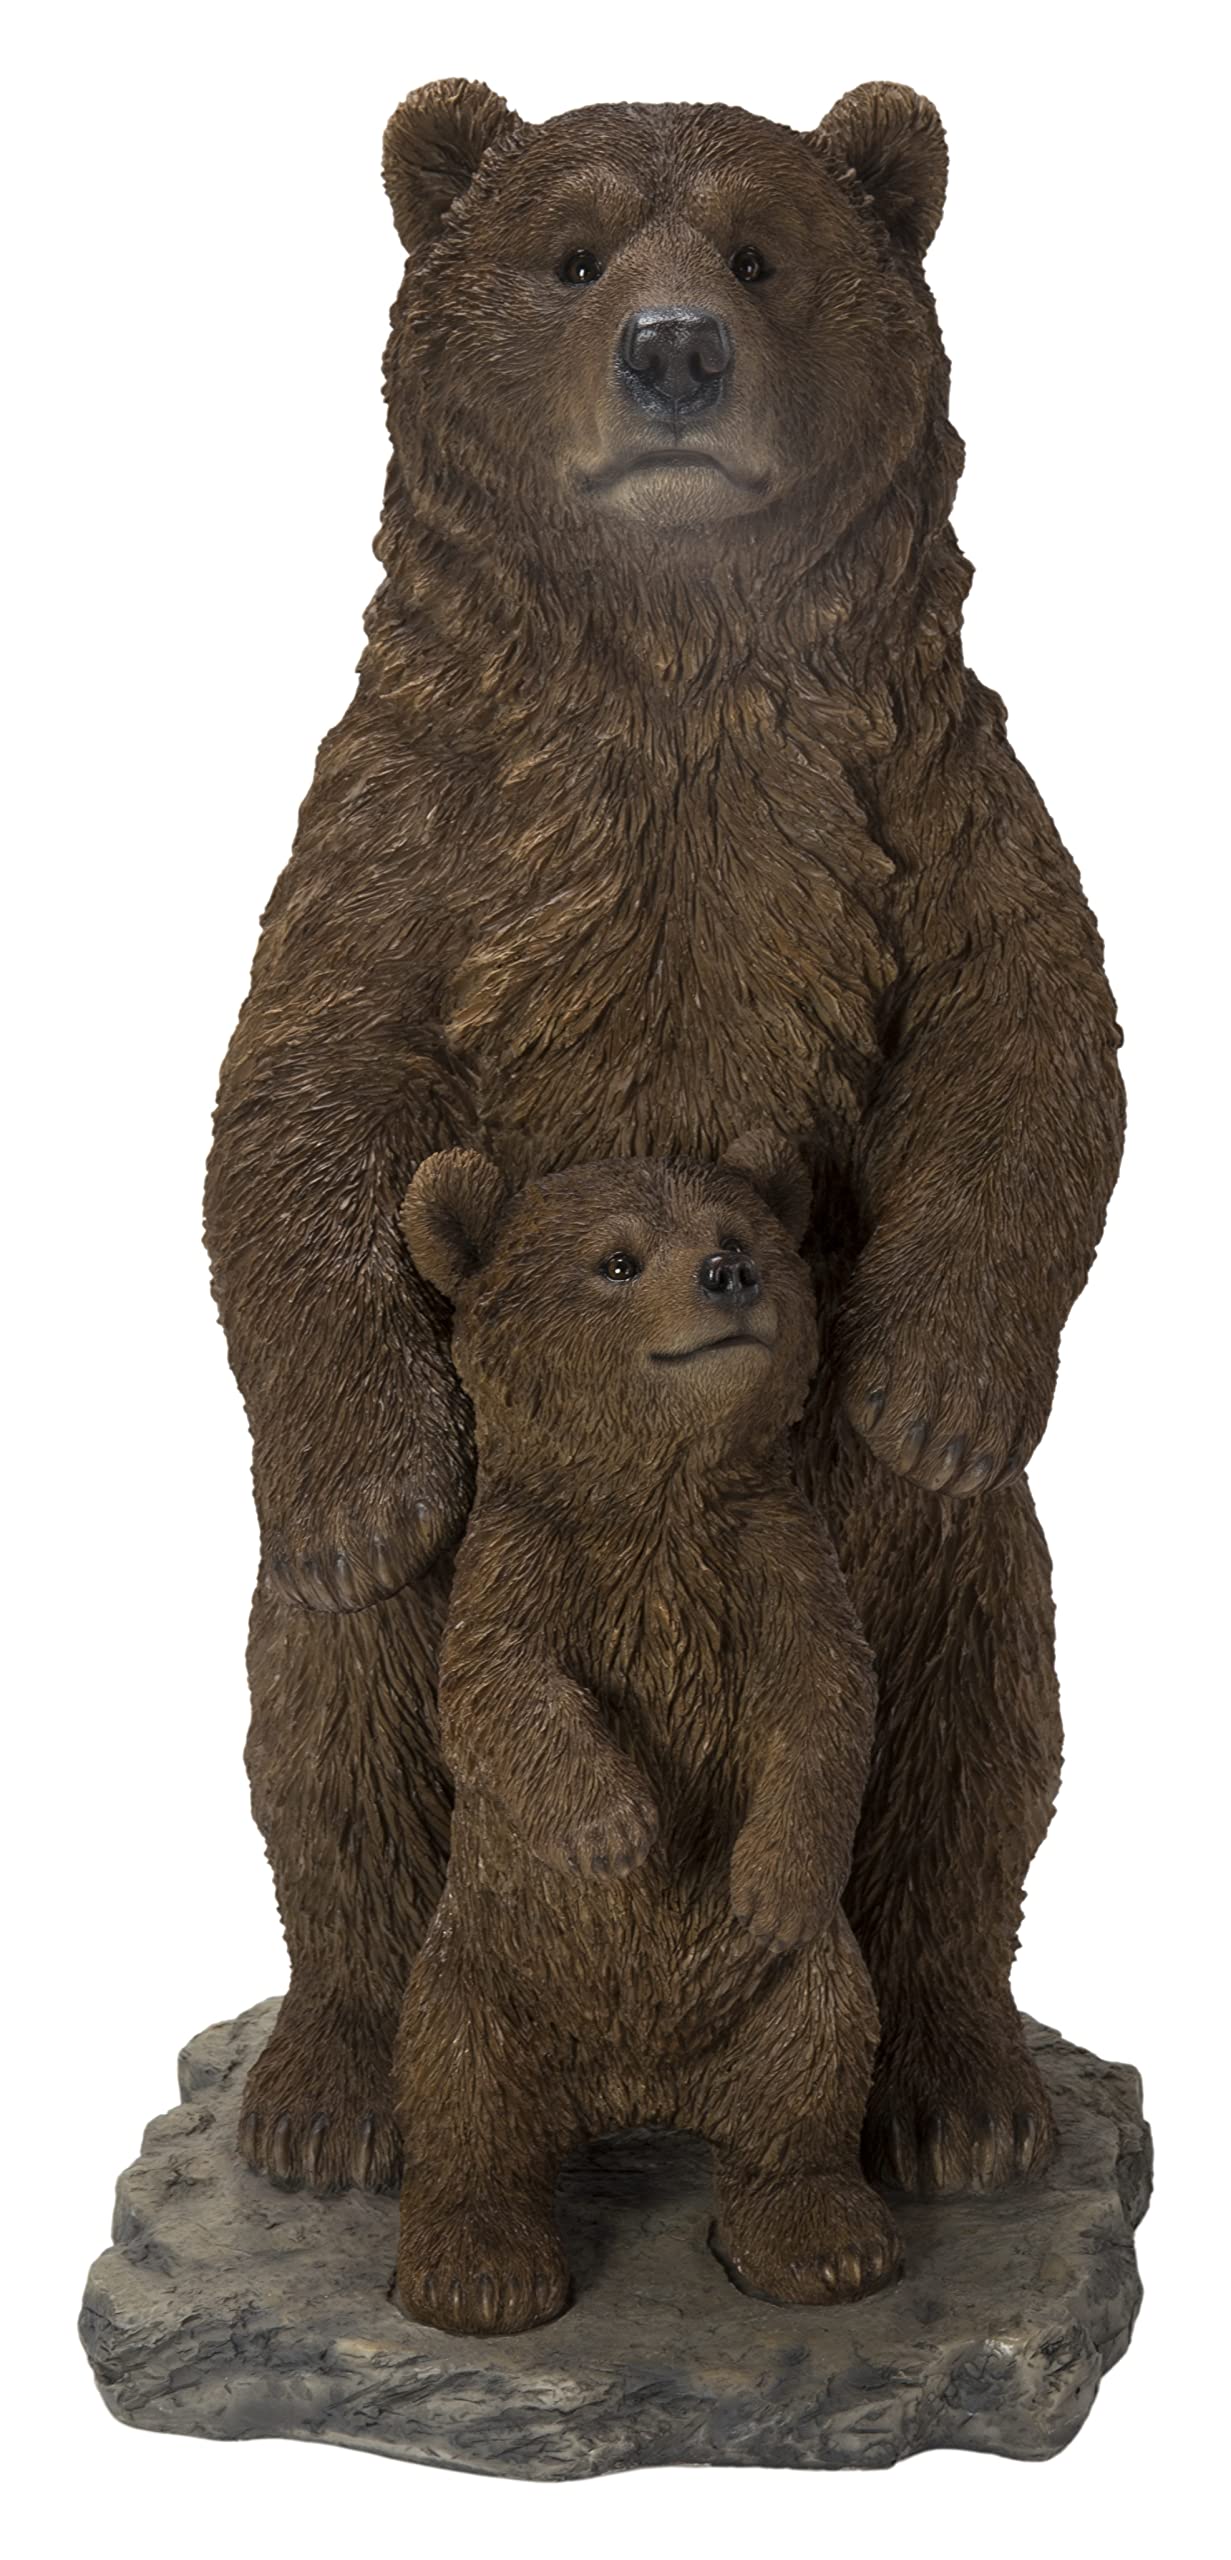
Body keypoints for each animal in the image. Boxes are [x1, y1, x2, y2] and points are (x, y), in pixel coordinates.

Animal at [205, 78, 1124, 2204]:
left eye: (765, 253)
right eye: (574, 254)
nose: (677, 349)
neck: (674, 659)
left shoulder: (919, 791)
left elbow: (1031, 1035)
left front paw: (938, 1387)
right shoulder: (417, 811)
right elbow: (298, 1084)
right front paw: (368, 1487)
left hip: (921, 1581)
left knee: (973, 1732)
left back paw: (960, 2094)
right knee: (335, 1722)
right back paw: (331, 2094)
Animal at [394, 1135, 899, 2334]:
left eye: (739, 1233)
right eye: (616, 1262)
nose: (728, 1273)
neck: (657, 1506)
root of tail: (635, 2092)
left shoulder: (776, 1563)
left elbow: (829, 1700)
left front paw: (769, 1881)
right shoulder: (526, 1564)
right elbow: (495, 1694)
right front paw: (614, 1828)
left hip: (797, 1992)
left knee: (809, 2074)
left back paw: (822, 2240)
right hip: (481, 1977)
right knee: (459, 2094)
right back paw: (479, 2267)